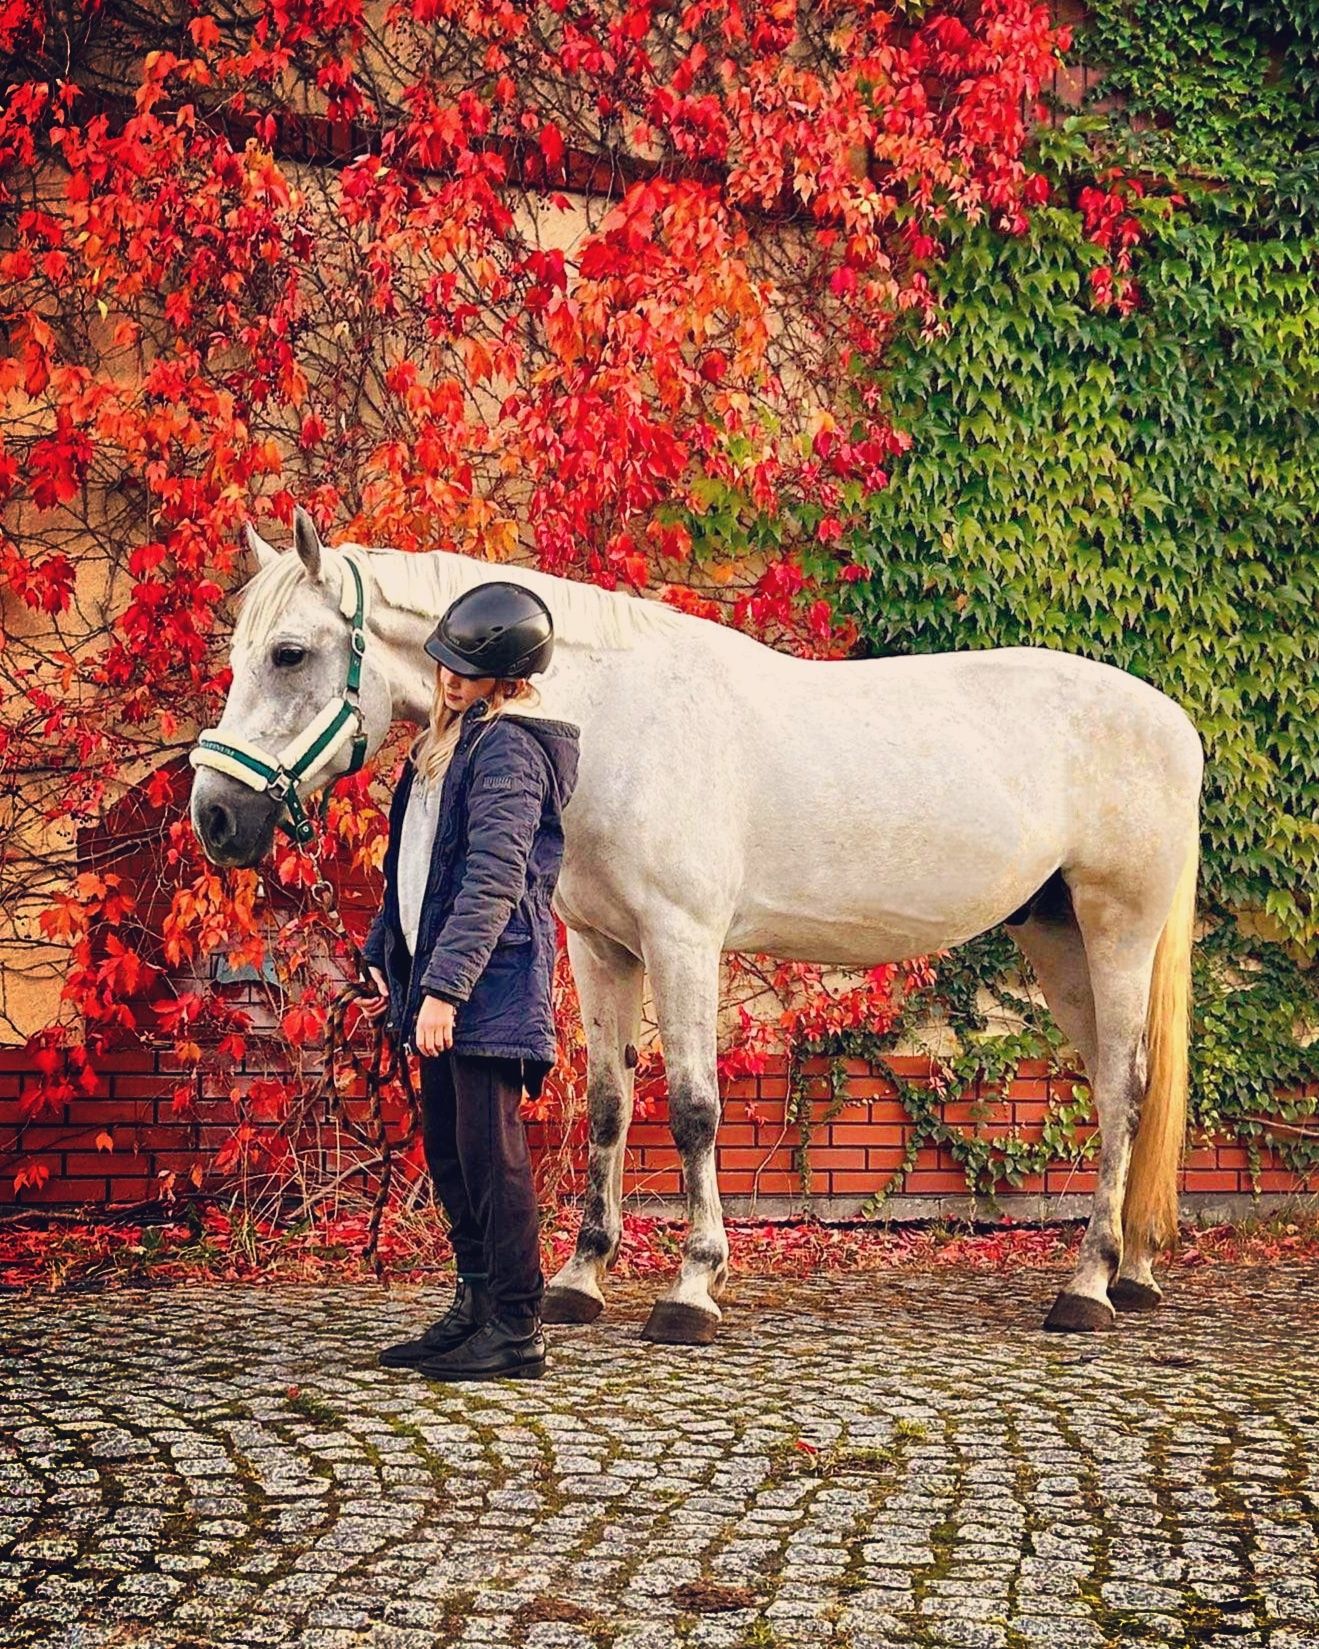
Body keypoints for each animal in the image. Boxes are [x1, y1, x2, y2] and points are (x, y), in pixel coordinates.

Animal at [187, 507, 1206, 1345]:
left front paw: (690, 1289)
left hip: (1115, 931)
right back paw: (1132, 1275)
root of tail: (1174, 722)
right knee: (1123, 1087)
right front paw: (579, 1279)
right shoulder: (601, 948)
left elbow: (691, 1110)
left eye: (287, 653)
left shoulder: (682, 942)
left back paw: (1086, 1286)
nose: (216, 817)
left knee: (1123, 1088)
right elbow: (609, 1104)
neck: (608, 722)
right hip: (1057, 939)